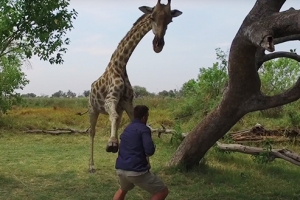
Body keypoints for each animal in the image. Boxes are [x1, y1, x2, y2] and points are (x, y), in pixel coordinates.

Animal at [88, 0, 182, 172]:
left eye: (170, 21)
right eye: (152, 17)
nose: (158, 45)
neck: (120, 66)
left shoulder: (126, 102)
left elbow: (140, 124)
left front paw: (147, 163)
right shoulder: (109, 100)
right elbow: (113, 117)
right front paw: (111, 144)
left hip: (115, 108)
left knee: (115, 122)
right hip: (93, 109)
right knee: (92, 132)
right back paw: (91, 165)